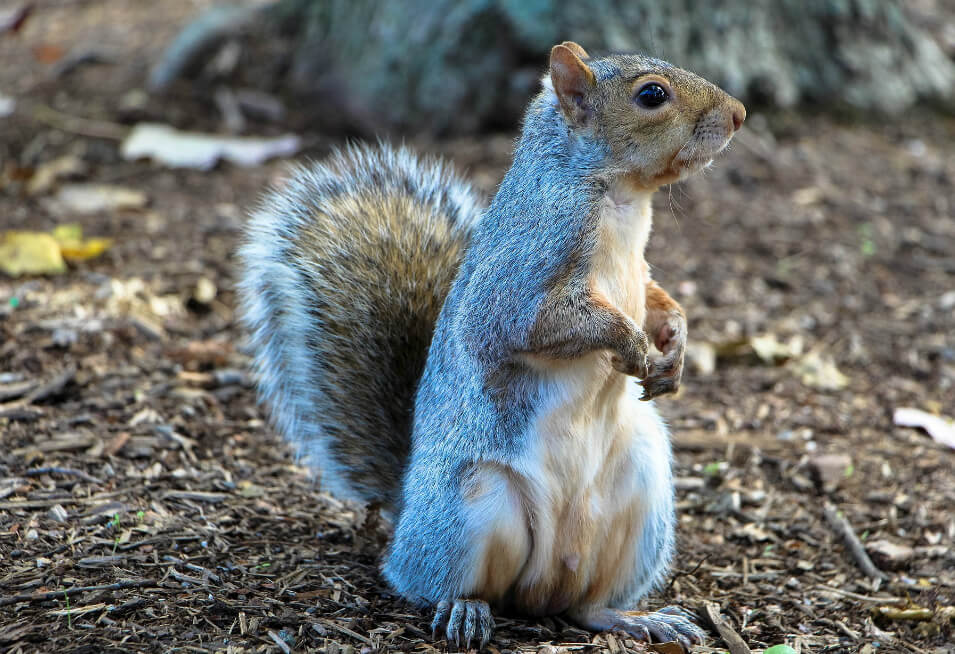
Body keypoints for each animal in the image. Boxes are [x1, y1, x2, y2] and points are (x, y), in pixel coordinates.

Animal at [239, 42, 745, 651]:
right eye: (651, 95)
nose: (740, 114)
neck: (621, 199)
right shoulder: (524, 272)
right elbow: (538, 324)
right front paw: (635, 345)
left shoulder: (639, 273)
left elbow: (656, 299)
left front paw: (675, 347)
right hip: (472, 506)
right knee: (440, 584)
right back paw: (465, 609)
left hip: (642, 493)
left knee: (586, 607)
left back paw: (635, 618)